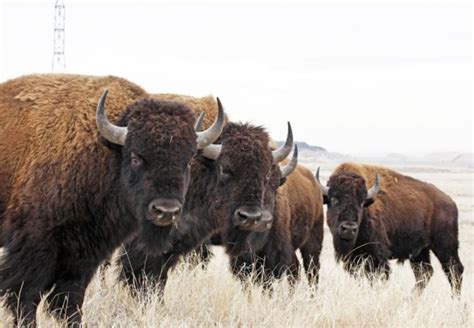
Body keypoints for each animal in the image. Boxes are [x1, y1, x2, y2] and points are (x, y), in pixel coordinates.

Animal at [0, 74, 225, 326]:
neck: (104, 152)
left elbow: (70, 299)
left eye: (187, 161)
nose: (166, 211)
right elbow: (26, 295)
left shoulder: (84, 255)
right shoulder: (35, 246)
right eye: (136, 157)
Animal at [316, 163, 464, 294]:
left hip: (445, 247)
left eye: (362, 202)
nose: (349, 228)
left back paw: (455, 300)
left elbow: (378, 277)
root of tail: (451, 202)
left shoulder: (377, 257)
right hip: (421, 251)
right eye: (334, 199)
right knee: (424, 272)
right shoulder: (353, 259)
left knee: (455, 270)